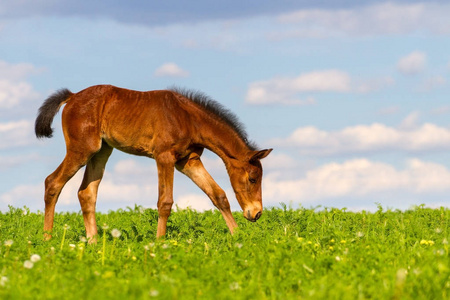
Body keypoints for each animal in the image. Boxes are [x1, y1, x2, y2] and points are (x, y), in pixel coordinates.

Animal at [34, 85, 270, 241]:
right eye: (253, 178)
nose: (256, 213)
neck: (187, 118)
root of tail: (72, 97)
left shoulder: (188, 161)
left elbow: (218, 195)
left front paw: (239, 237)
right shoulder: (164, 156)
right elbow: (165, 202)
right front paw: (159, 242)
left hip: (101, 152)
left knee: (86, 193)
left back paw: (92, 242)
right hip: (82, 150)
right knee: (52, 182)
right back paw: (47, 240)